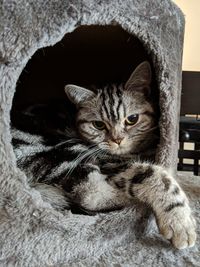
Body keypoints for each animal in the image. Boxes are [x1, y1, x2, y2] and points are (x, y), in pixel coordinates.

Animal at [11, 61, 196, 250]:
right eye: (98, 125)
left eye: (132, 119)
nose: (117, 140)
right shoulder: (111, 163)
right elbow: (156, 177)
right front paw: (180, 222)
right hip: (66, 151)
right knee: (91, 194)